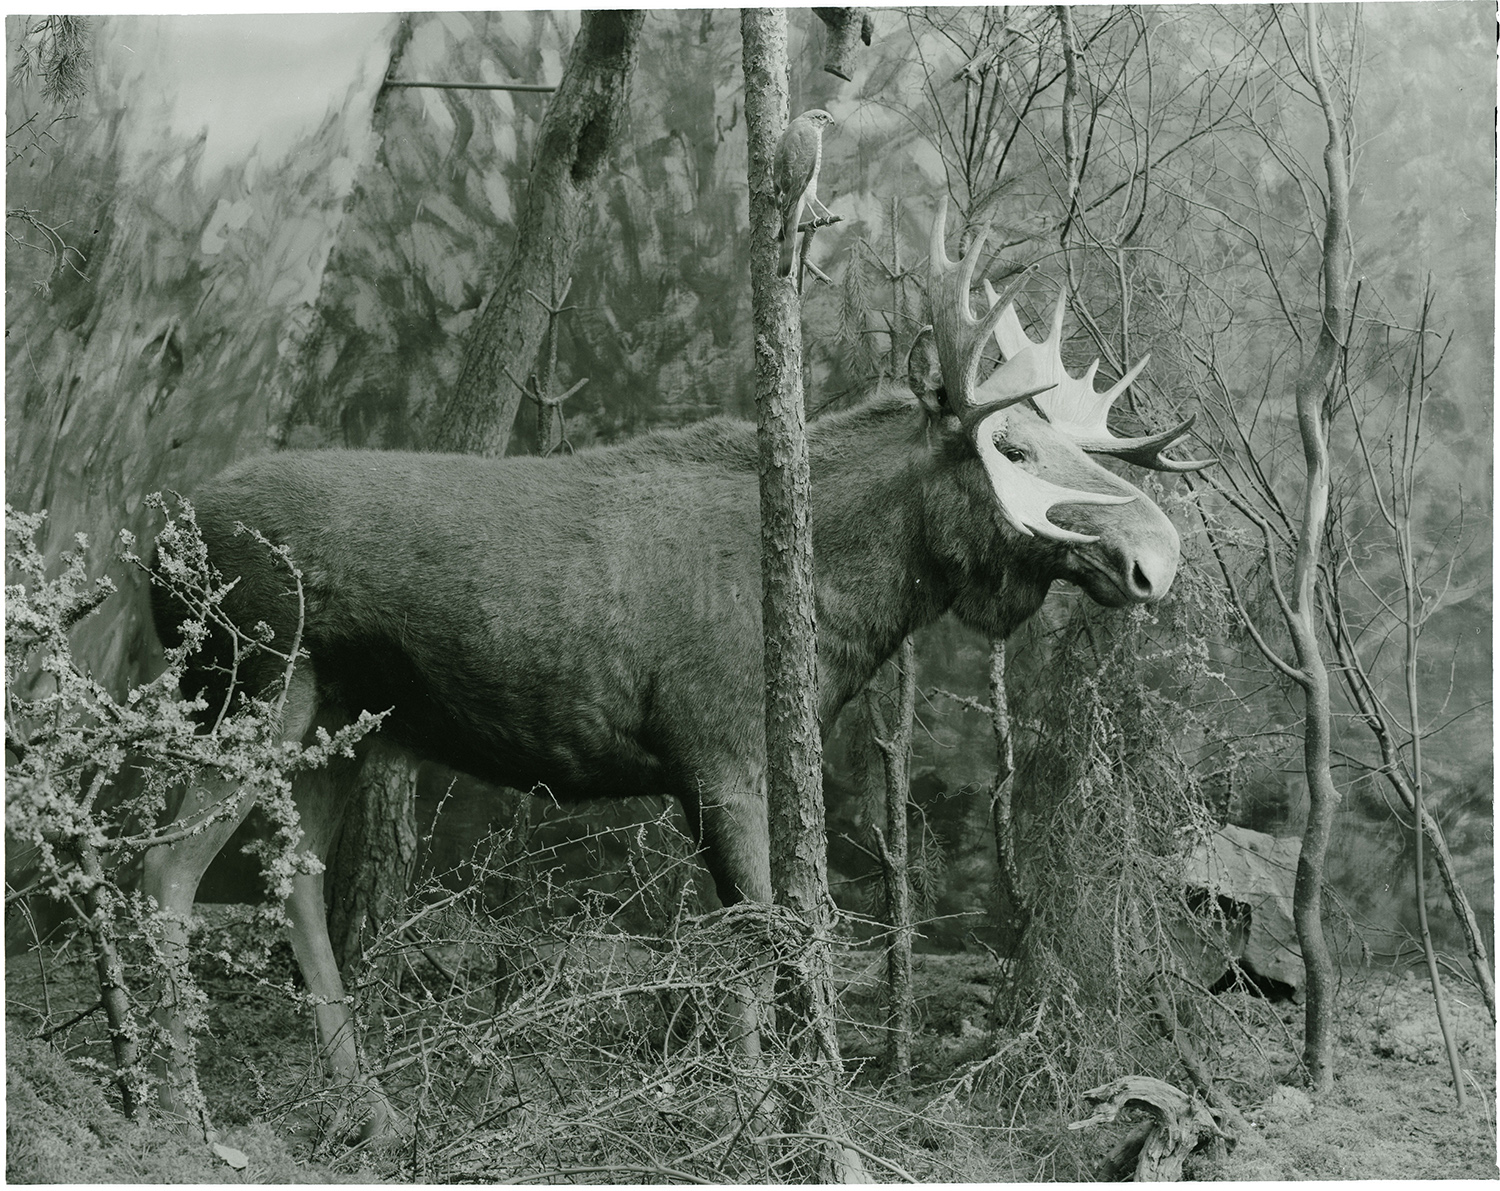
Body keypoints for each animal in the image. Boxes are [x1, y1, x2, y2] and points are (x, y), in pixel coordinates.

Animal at [140, 197, 1205, 1136]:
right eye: (1012, 444)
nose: (1159, 553)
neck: (844, 612)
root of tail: (157, 542)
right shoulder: (720, 755)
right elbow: (758, 953)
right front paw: (768, 1124)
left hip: (335, 723)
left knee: (293, 886)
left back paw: (370, 1111)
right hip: (255, 686)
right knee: (166, 869)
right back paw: (180, 1110)